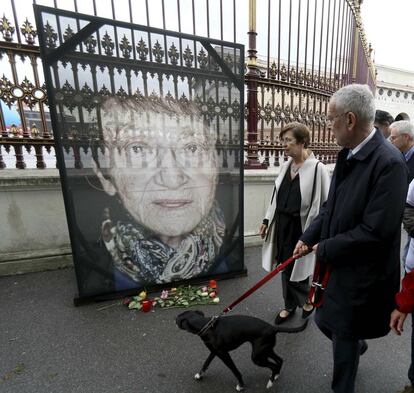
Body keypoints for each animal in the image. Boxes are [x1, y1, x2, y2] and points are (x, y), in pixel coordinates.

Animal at [175, 310, 308, 388]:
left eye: (177, 319)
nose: (173, 320)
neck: (206, 325)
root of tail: (272, 327)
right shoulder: (214, 352)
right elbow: (206, 363)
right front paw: (200, 375)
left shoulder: (224, 354)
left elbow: (234, 370)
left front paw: (241, 384)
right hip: (265, 351)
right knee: (279, 360)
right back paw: (275, 376)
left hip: (257, 357)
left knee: (274, 365)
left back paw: (270, 383)